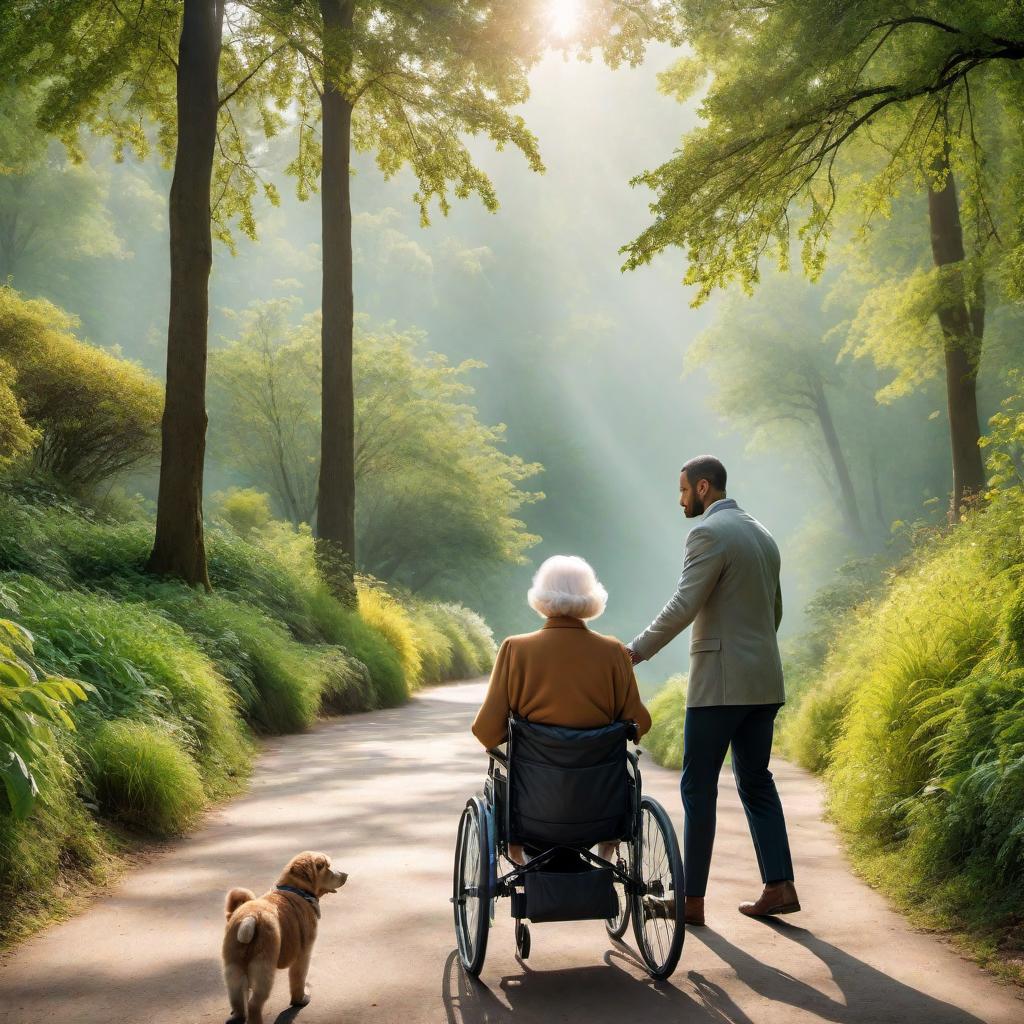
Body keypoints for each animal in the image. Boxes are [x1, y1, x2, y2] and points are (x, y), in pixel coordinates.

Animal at [220, 847, 348, 1024]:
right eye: (326, 866)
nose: (345, 875)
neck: (297, 890)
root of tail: (251, 917)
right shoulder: (303, 954)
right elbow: (298, 979)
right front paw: (299, 1000)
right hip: (263, 967)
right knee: (254, 1004)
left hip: (233, 966)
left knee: (237, 998)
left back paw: (237, 1016)